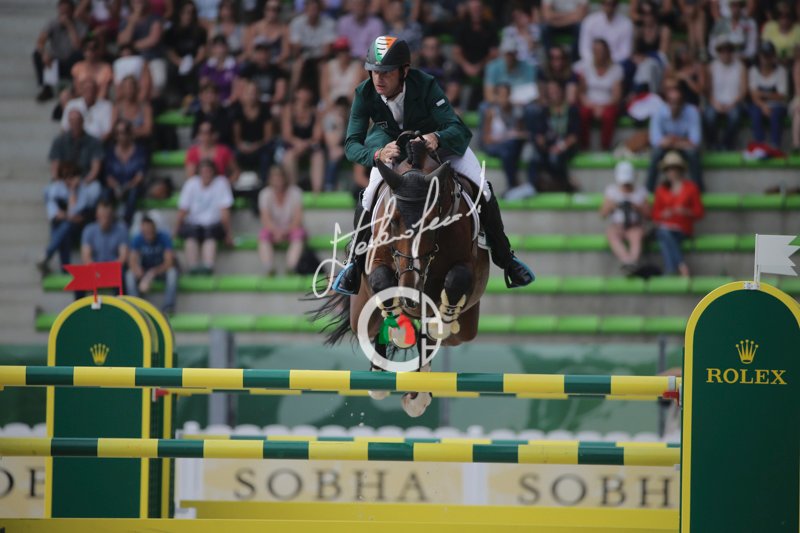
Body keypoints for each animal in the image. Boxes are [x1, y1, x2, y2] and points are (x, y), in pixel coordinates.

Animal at [313, 131, 490, 417]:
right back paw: (383, 373)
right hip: (359, 311)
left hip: (466, 328)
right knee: (373, 327)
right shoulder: (377, 262)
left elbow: (456, 281)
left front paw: (439, 322)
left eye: (432, 222)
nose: (410, 292)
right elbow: (382, 282)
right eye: (393, 220)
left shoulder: (467, 267)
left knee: (436, 340)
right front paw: (399, 328)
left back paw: (418, 396)